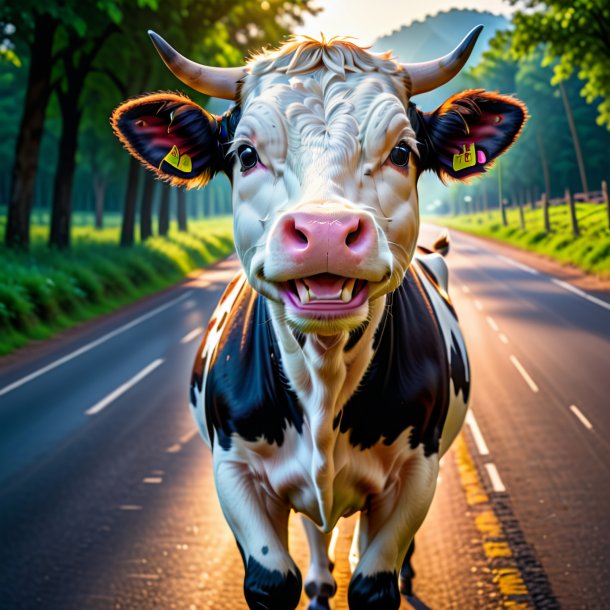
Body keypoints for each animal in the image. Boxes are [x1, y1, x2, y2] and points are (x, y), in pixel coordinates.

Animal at [111, 26, 524, 608]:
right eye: (246, 154)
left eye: (402, 151)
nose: (326, 232)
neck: (325, 379)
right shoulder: (233, 470)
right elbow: (271, 579)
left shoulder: (418, 471)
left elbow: (374, 583)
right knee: (317, 530)